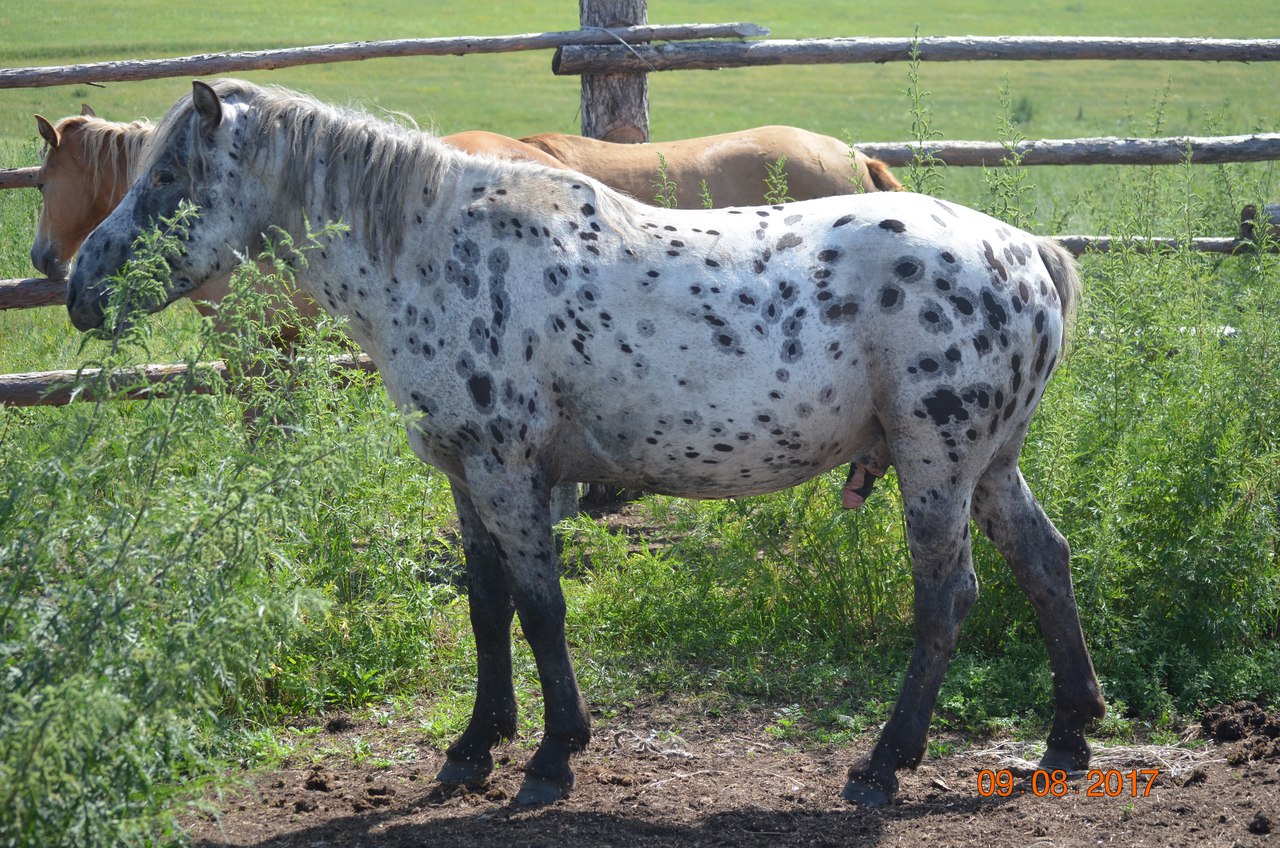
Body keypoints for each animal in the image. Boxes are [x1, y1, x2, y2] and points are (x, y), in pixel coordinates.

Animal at [70, 81, 1105, 809]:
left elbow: (540, 608)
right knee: (1044, 562)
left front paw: (551, 756)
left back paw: (885, 766)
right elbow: (486, 606)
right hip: (988, 468)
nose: (79, 288)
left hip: (938, 467)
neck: (437, 254)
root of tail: (1028, 252)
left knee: (948, 597)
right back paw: (1067, 737)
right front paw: (473, 748)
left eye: (167, 178)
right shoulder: (464, 474)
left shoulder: (507, 471)